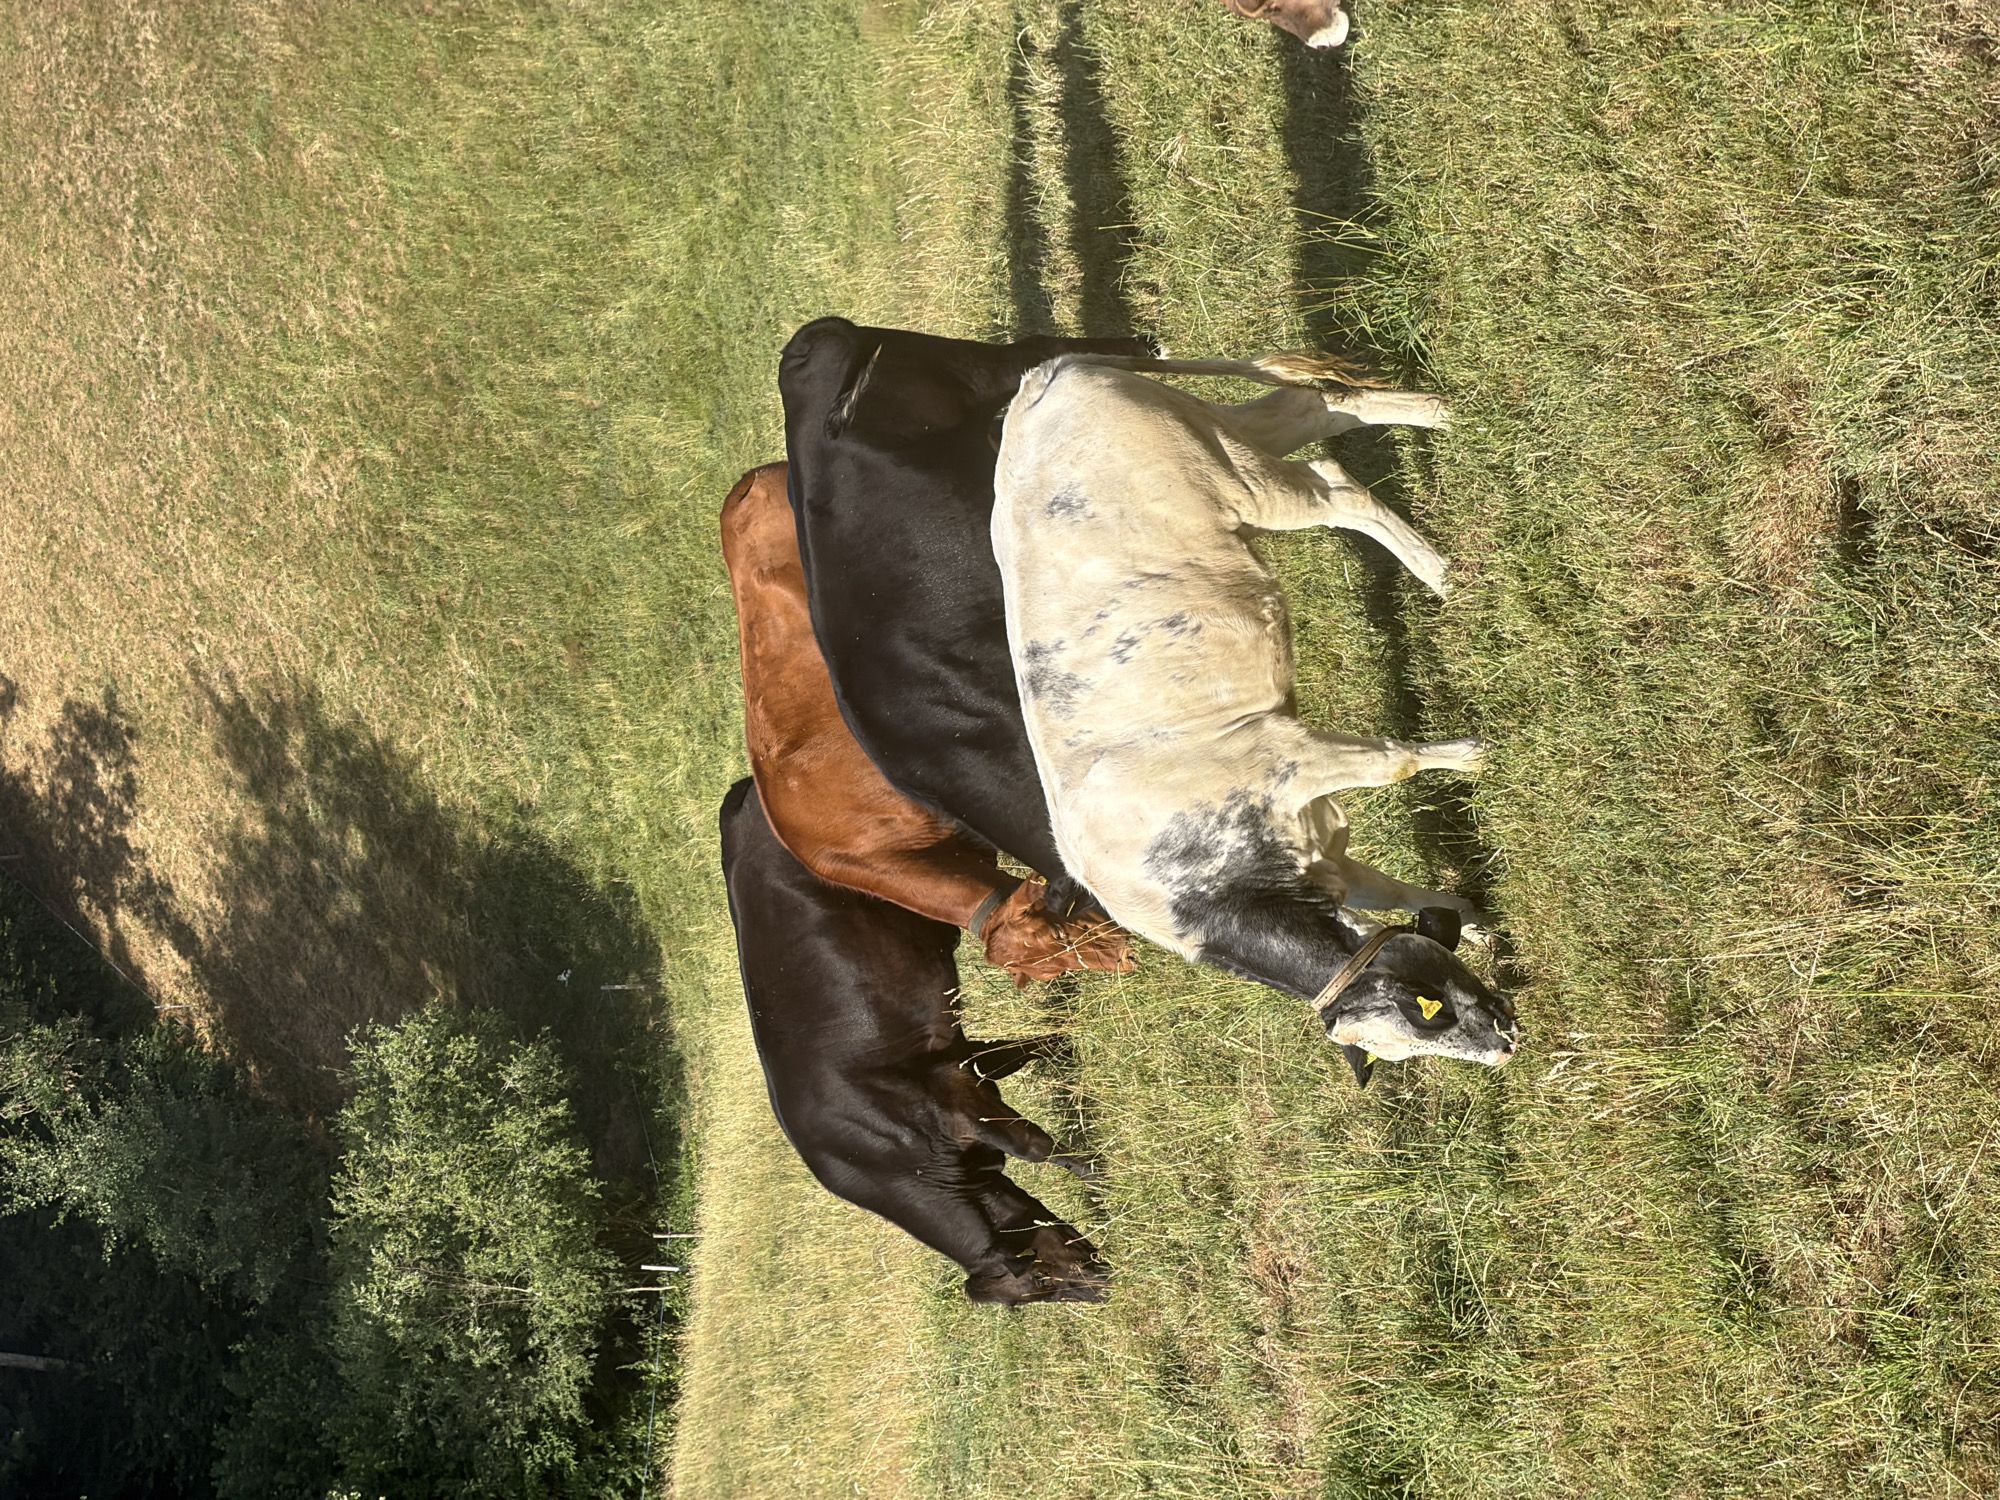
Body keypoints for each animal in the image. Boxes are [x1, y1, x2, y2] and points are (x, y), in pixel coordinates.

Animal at [719, 777, 1109, 1305]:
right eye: (1039, 1289)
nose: (1102, 1290)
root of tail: (742, 792)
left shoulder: (957, 1103)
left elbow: (1036, 1147)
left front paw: (1098, 1171)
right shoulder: (959, 1065)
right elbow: (1021, 1052)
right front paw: (1067, 1042)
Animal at [990, 351, 1517, 1085]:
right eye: (1422, 1026)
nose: (1504, 1043)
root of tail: (1041, 380)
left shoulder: (1285, 755)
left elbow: (1394, 762)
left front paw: (1476, 754)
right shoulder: (1327, 859)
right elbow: (1405, 900)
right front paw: (1478, 924)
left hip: (1240, 482)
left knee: (1336, 486)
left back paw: (1442, 571)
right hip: (1219, 433)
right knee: (1319, 410)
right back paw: (1443, 416)